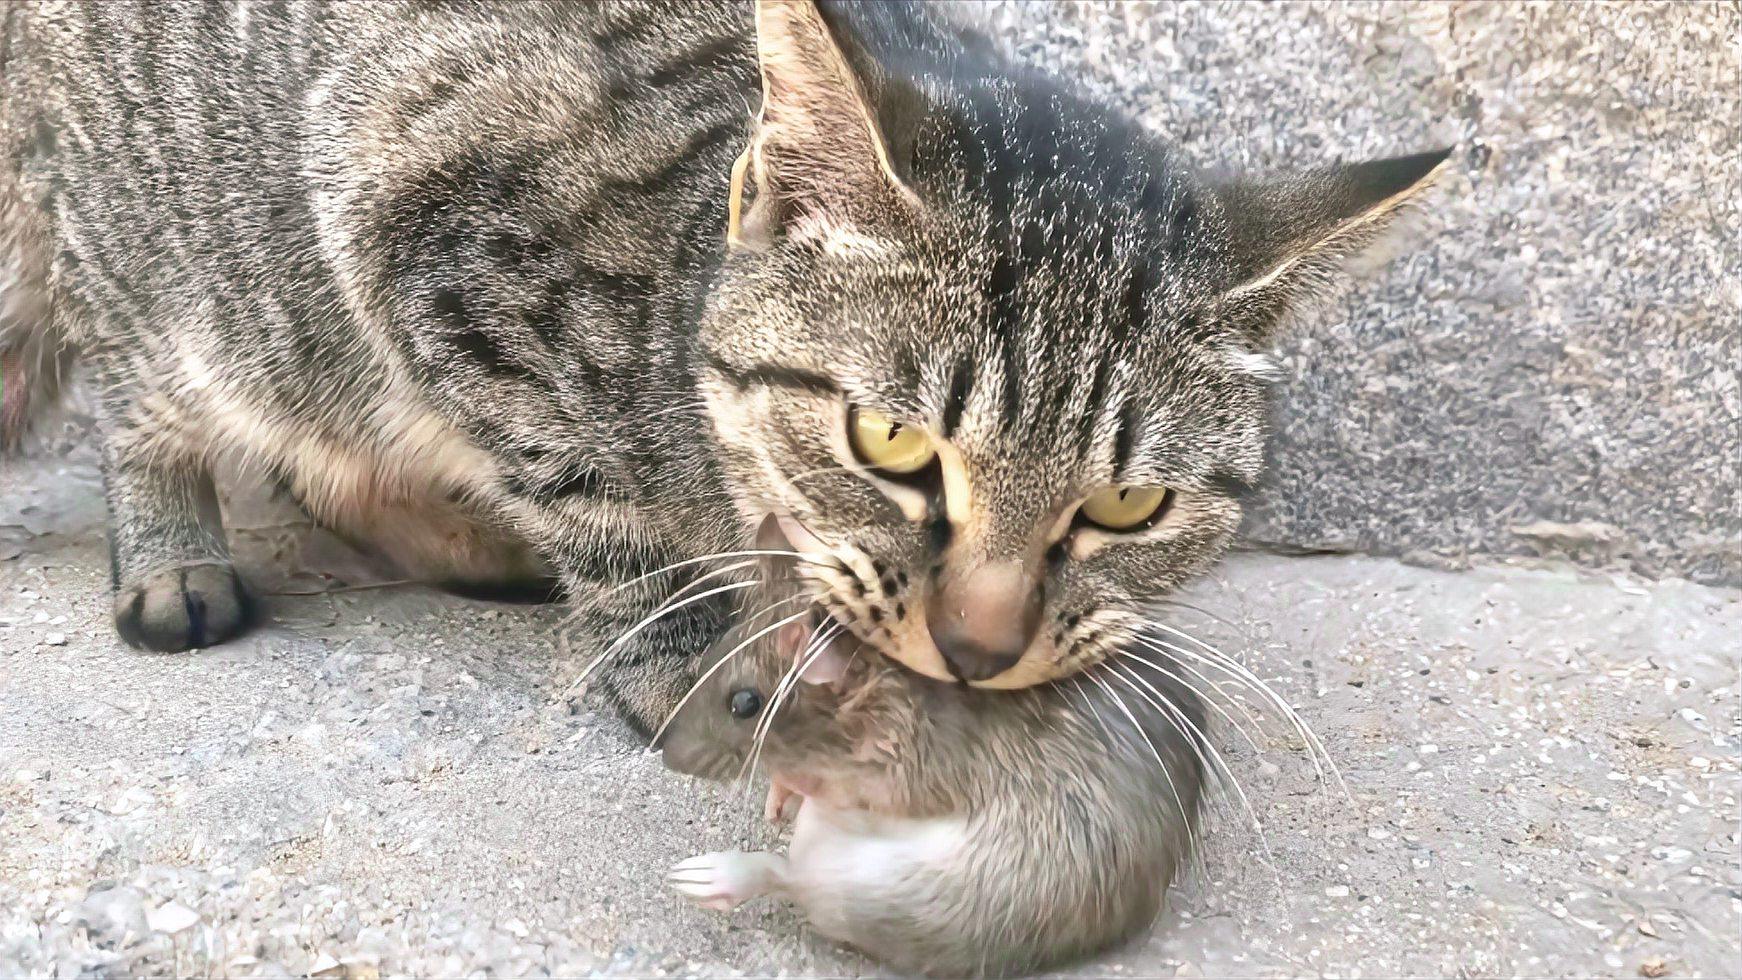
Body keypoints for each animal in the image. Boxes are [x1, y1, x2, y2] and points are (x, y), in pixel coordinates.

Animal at [0, 0, 1442, 738]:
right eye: (891, 443)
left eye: (1127, 505)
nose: (979, 647)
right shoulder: (420, 214)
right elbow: (602, 504)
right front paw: (680, 660)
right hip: (185, 268)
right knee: (146, 403)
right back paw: (175, 553)